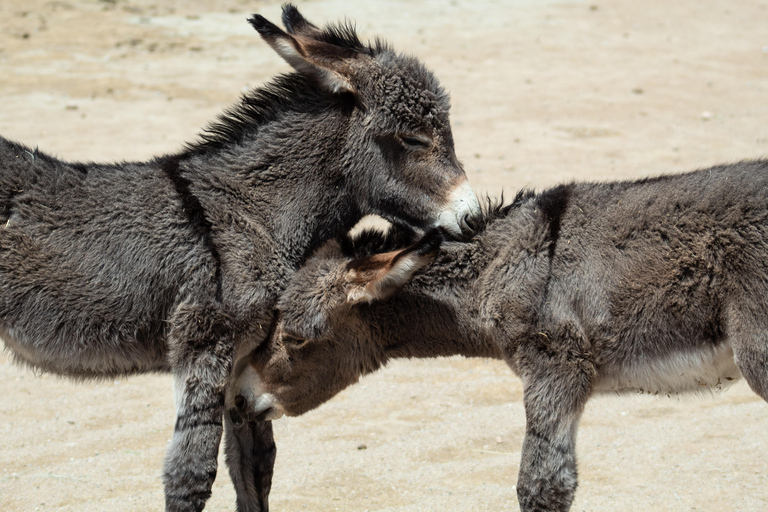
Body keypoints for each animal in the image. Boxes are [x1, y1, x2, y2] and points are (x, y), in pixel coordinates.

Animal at [0, 5, 480, 512]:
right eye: (413, 138)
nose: (473, 219)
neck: (253, 213)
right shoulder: (205, 343)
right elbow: (191, 473)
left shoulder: (247, 355)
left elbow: (255, 465)